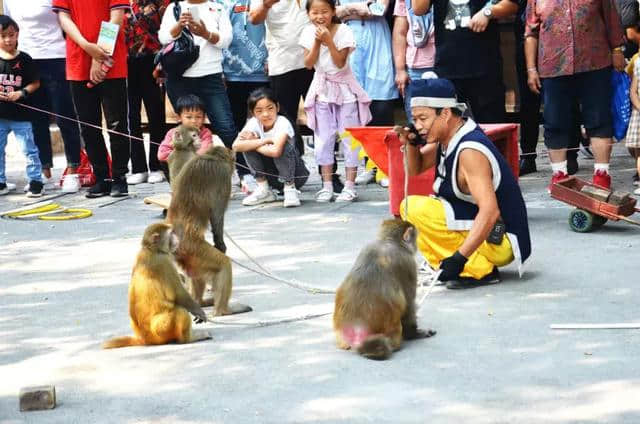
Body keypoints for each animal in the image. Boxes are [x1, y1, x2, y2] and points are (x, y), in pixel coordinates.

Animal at [166, 146, 251, 314]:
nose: (234, 166)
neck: (211, 157)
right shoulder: (223, 176)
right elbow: (217, 216)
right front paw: (221, 245)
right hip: (192, 248)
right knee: (223, 265)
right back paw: (223, 311)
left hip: (186, 254)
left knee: (194, 272)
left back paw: (199, 302)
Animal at [332, 219, 438, 362]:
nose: (416, 246)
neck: (387, 241)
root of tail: (357, 328)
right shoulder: (408, 262)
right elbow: (409, 304)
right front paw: (415, 333)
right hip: (393, 336)